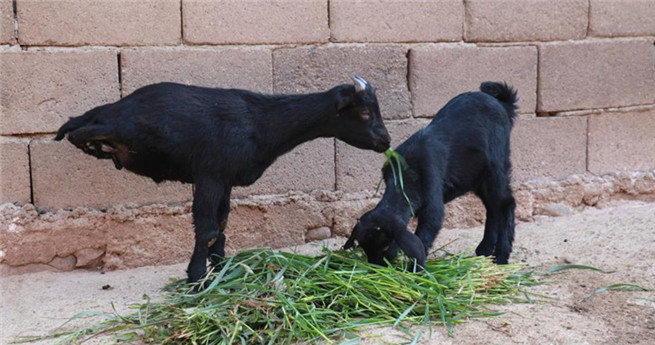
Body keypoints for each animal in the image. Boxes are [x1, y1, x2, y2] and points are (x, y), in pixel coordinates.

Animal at [55, 76, 390, 284]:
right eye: (364, 113)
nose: (385, 141)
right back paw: (91, 141)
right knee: (78, 130)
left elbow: (222, 225)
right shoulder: (210, 175)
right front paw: (196, 279)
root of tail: (116, 107)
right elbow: (206, 230)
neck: (263, 122)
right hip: (129, 125)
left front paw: (220, 269)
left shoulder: (226, 180)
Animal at [346, 82, 520, 268]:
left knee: (506, 203)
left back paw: (501, 256)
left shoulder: (432, 201)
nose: (376, 266)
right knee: (492, 207)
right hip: (477, 178)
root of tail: (502, 104)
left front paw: (415, 269)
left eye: (385, 246)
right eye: (364, 247)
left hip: (496, 166)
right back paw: (485, 249)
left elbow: (425, 235)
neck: (403, 180)